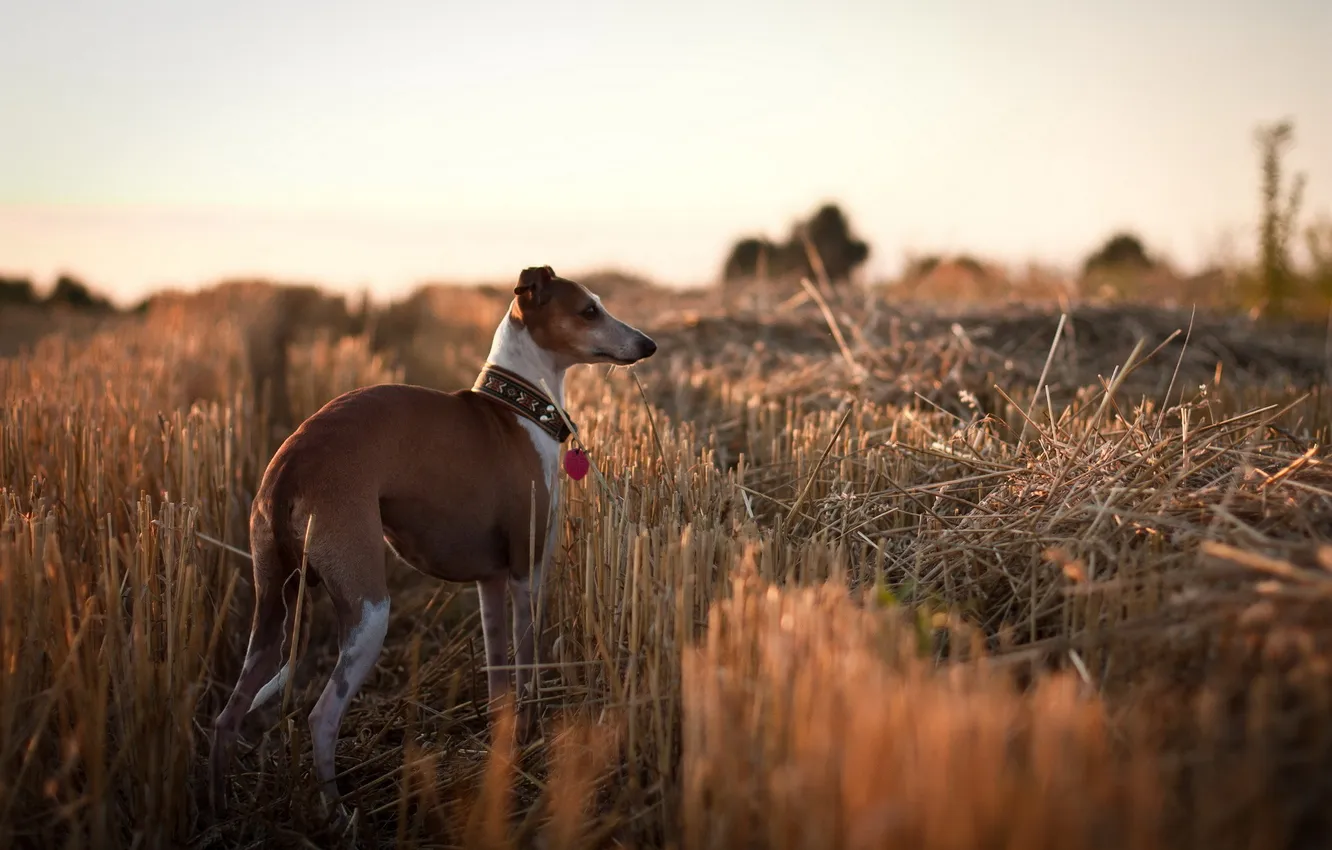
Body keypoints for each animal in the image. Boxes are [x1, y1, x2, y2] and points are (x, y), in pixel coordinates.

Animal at [206, 266, 655, 820]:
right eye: (589, 310)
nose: (649, 344)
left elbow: (499, 677)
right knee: (320, 717)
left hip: (270, 611)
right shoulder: (527, 571)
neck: (517, 411)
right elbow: (527, 666)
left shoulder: (490, 582)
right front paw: (529, 736)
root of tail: (290, 463)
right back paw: (338, 815)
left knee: (227, 718)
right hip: (368, 611)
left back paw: (219, 811)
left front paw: (503, 746)